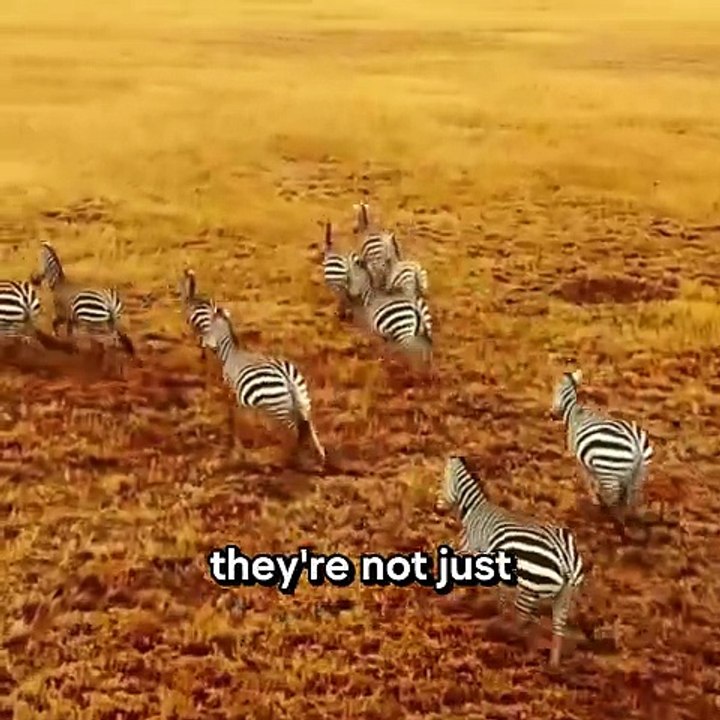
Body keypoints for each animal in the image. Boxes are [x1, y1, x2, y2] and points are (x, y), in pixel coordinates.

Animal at [202, 308, 325, 465]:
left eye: (209, 329)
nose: (203, 344)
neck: (231, 353)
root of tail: (285, 375)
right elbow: (250, 417)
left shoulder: (231, 387)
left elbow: (234, 412)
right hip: (302, 397)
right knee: (309, 425)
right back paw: (319, 454)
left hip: (278, 407)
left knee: (293, 431)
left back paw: (289, 459)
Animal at [437, 455, 585, 667]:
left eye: (442, 482)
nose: (438, 508)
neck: (474, 509)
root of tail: (565, 557)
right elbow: (500, 593)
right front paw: (495, 610)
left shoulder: (471, 550)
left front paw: (456, 601)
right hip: (565, 595)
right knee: (557, 630)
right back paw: (551, 666)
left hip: (529, 589)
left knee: (524, 620)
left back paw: (509, 644)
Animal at [552, 370, 653, 521]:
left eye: (555, 391)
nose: (552, 413)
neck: (574, 411)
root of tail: (636, 443)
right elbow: (594, 480)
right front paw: (597, 495)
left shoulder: (579, 458)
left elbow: (588, 479)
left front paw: (594, 498)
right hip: (639, 474)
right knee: (631, 498)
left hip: (609, 470)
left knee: (615, 501)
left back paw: (611, 519)